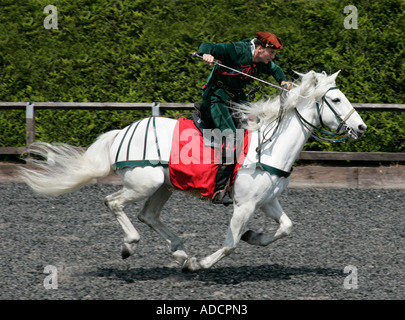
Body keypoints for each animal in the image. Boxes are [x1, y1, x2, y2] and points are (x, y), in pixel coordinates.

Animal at [19, 70, 366, 272]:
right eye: (335, 98)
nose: (361, 127)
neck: (267, 146)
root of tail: (120, 133)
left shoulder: (267, 201)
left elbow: (286, 227)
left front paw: (254, 236)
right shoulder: (244, 205)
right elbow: (230, 244)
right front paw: (199, 264)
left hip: (165, 185)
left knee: (148, 215)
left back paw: (179, 251)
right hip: (144, 183)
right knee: (114, 202)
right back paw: (133, 245)